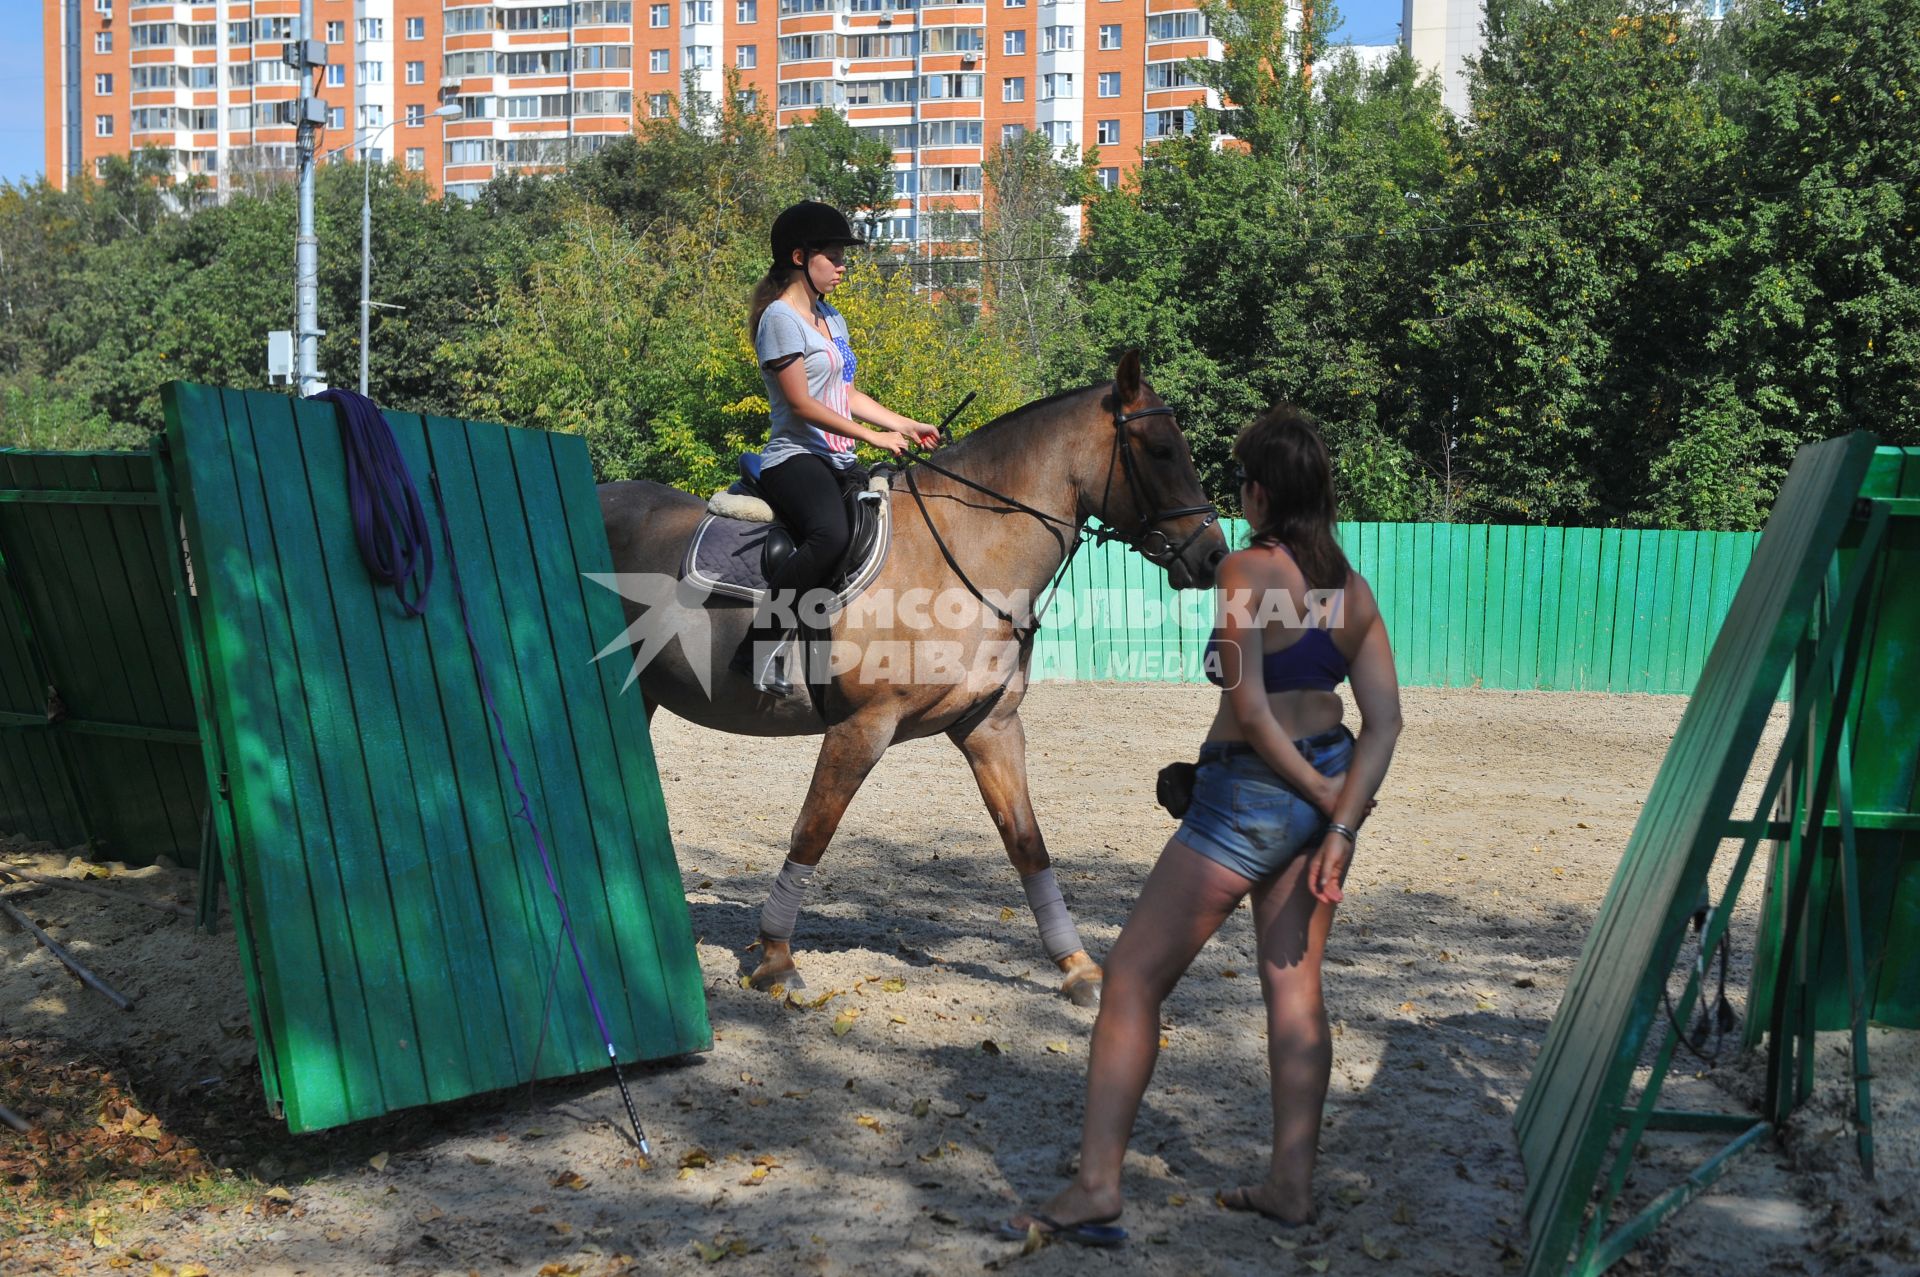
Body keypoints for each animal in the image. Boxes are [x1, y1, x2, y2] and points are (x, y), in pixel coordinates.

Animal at [599, 353, 1228, 998]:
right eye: (1160, 450)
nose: (1212, 556)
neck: (960, 551)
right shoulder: (861, 727)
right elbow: (812, 830)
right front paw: (775, 957)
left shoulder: (992, 727)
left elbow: (1027, 842)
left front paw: (1077, 967)